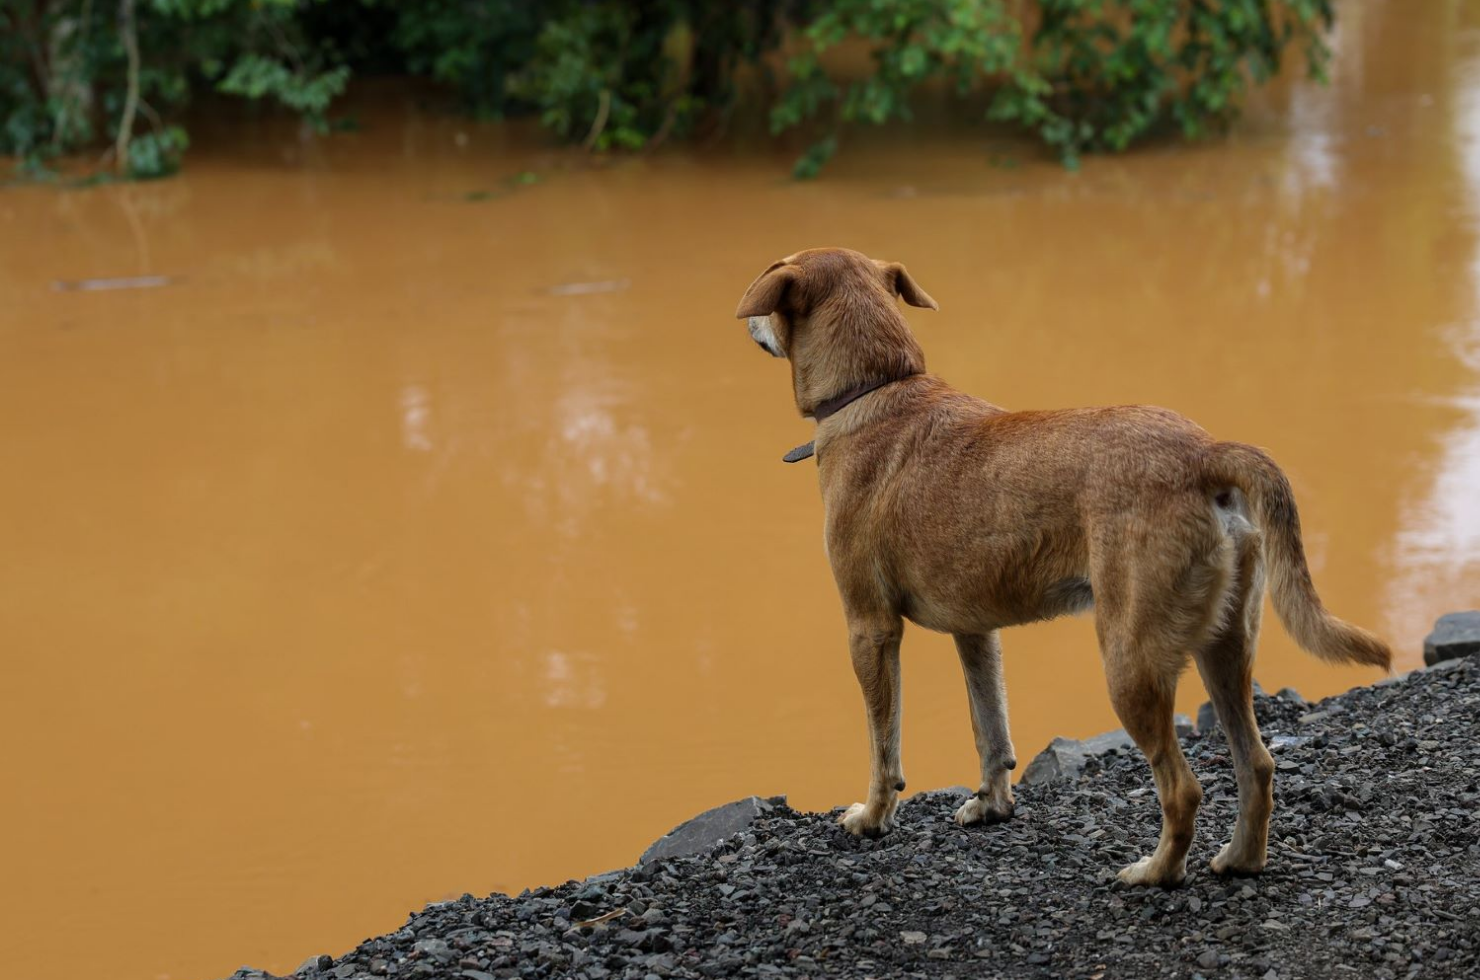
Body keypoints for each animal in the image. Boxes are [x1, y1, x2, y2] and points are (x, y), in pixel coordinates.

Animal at [734, 247, 1391, 888]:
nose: (748, 324)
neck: (875, 389)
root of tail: (1206, 454)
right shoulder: (975, 630)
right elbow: (990, 725)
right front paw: (993, 804)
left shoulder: (869, 627)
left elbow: (883, 743)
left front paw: (873, 817)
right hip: (1225, 649)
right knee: (1257, 763)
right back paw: (1239, 859)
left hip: (1131, 660)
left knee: (1183, 789)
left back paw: (1156, 873)